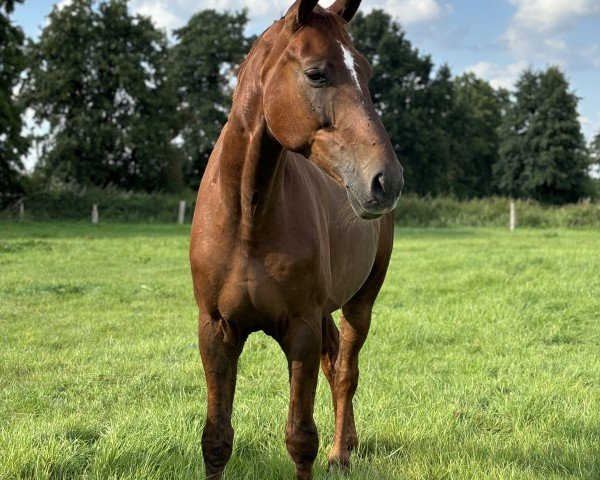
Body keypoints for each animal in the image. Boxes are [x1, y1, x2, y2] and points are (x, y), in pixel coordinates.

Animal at [188, 0, 406, 476]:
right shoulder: (215, 330)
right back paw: (351, 441)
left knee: (345, 372)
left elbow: (301, 439)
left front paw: (325, 451)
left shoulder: (300, 330)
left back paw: (341, 453)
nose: (388, 181)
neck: (249, 218)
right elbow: (216, 439)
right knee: (335, 362)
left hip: (360, 303)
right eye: (316, 73)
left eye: (365, 72)